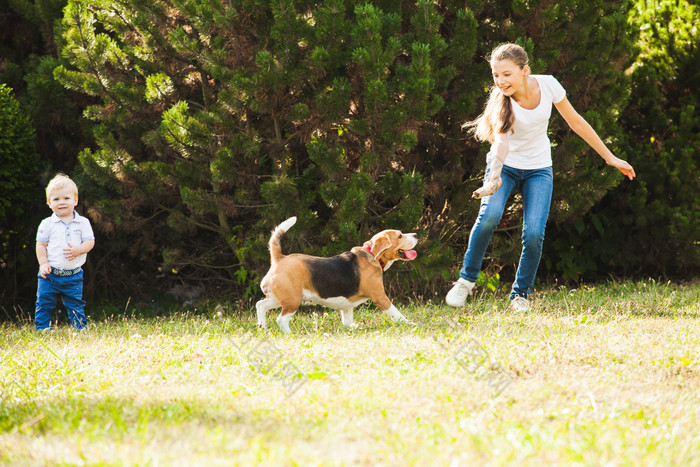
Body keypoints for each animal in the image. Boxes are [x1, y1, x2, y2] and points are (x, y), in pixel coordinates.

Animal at [258, 218, 418, 334]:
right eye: (400, 235)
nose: (416, 235)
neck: (371, 254)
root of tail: (280, 258)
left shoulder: (347, 306)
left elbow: (347, 321)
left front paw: (354, 327)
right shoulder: (380, 297)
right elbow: (396, 313)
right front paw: (410, 323)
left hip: (279, 298)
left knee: (260, 305)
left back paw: (262, 328)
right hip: (292, 300)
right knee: (281, 320)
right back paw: (289, 334)